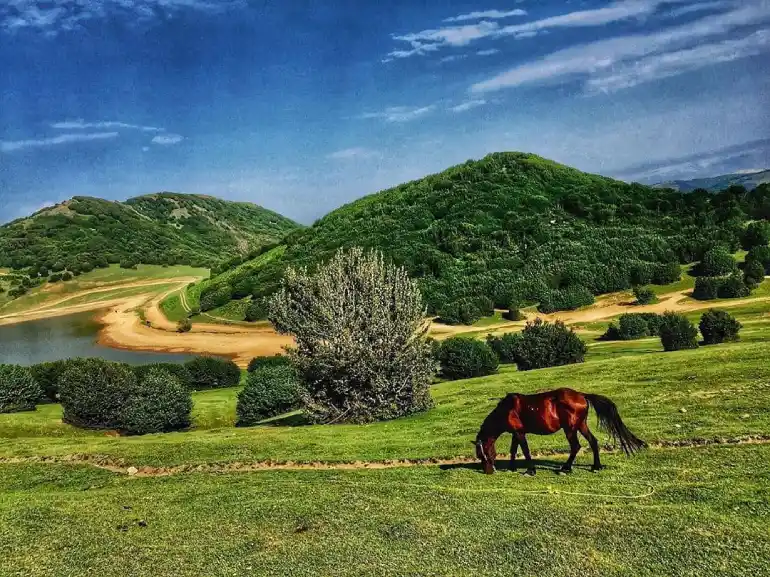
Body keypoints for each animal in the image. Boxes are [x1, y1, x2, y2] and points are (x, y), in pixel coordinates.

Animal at [474, 388, 640, 476]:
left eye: (482, 455)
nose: (488, 471)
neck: (507, 409)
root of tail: (581, 395)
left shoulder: (519, 433)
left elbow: (525, 451)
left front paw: (530, 471)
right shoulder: (516, 433)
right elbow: (513, 450)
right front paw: (512, 468)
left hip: (570, 429)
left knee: (575, 446)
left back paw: (565, 468)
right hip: (581, 426)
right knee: (593, 441)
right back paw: (596, 466)